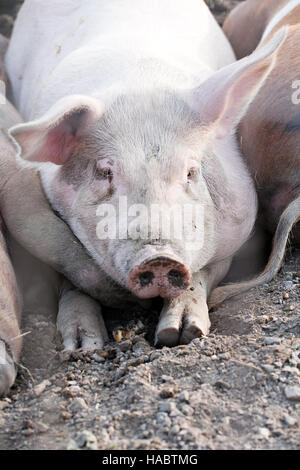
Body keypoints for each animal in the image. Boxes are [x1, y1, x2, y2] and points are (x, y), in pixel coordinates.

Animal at [4, 0, 286, 348]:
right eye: (105, 172)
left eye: (191, 171)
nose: (159, 257)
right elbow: (73, 278)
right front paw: (83, 346)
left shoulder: (234, 235)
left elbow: (200, 276)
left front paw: (181, 333)